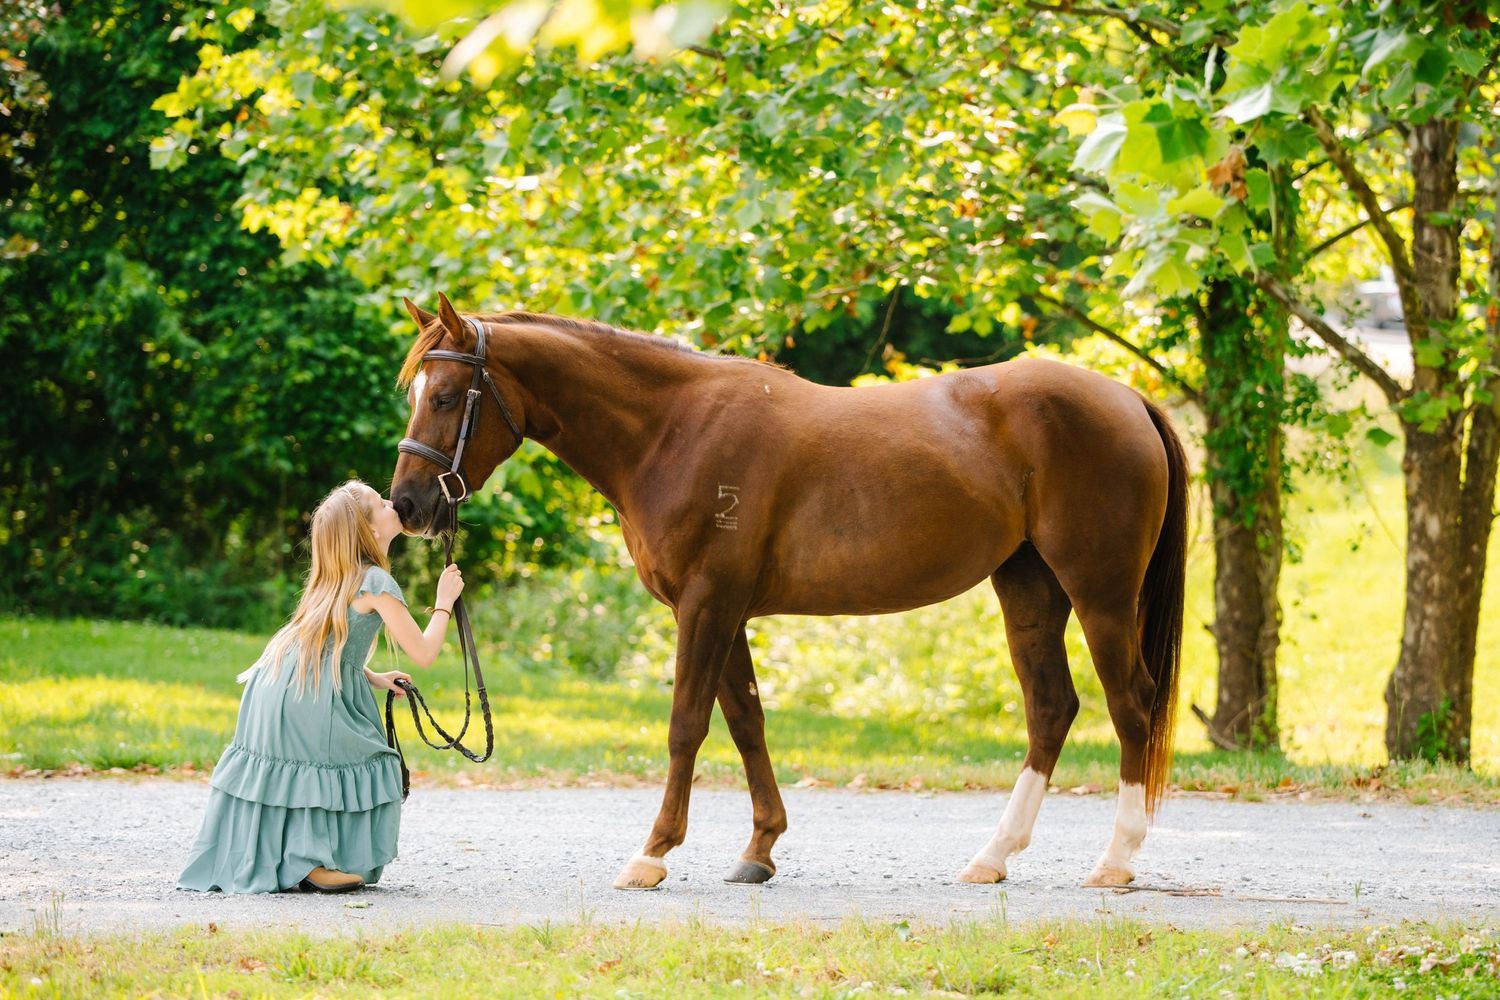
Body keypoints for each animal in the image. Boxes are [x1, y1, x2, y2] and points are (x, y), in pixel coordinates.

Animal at [390, 293, 1188, 890]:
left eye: (450, 395)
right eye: (417, 393)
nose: (407, 505)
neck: (672, 431)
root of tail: (1128, 398)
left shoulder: (706, 605)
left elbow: (687, 725)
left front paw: (653, 853)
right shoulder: (725, 610)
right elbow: (746, 721)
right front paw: (759, 850)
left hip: (1100, 591)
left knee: (1130, 703)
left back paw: (1115, 861)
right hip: (1028, 586)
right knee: (1052, 706)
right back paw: (992, 857)